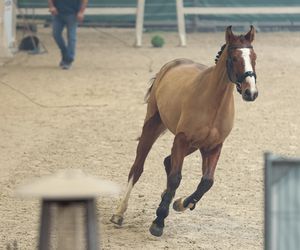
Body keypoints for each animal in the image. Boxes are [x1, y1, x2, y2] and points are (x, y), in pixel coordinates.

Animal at [110, 25, 258, 236]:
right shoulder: (182, 139)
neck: (213, 102)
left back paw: (168, 197)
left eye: (254, 57)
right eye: (234, 58)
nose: (250, 92)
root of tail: (171, 65)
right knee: (138, 168)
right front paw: (159, 221)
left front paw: (180, 203)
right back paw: (119, 213)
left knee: (168, 161)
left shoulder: (213, 146)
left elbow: (207, 182)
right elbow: (175, 178)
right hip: (153, 127)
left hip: (195, 146)